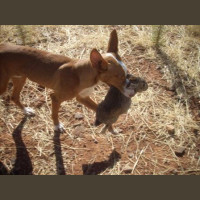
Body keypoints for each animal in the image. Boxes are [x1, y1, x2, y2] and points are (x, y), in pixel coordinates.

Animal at [0, 29, 134, 132]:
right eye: (119, 77)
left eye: (127, 74)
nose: (132, 93)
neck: (80, 75)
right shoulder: (55, 97)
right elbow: (54, 114)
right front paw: (57, 126)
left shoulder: (82, 98)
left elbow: (100, 111)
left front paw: (111, 128)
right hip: (4, 85)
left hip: (20, 78)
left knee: (14, 97)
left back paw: (26, 111)